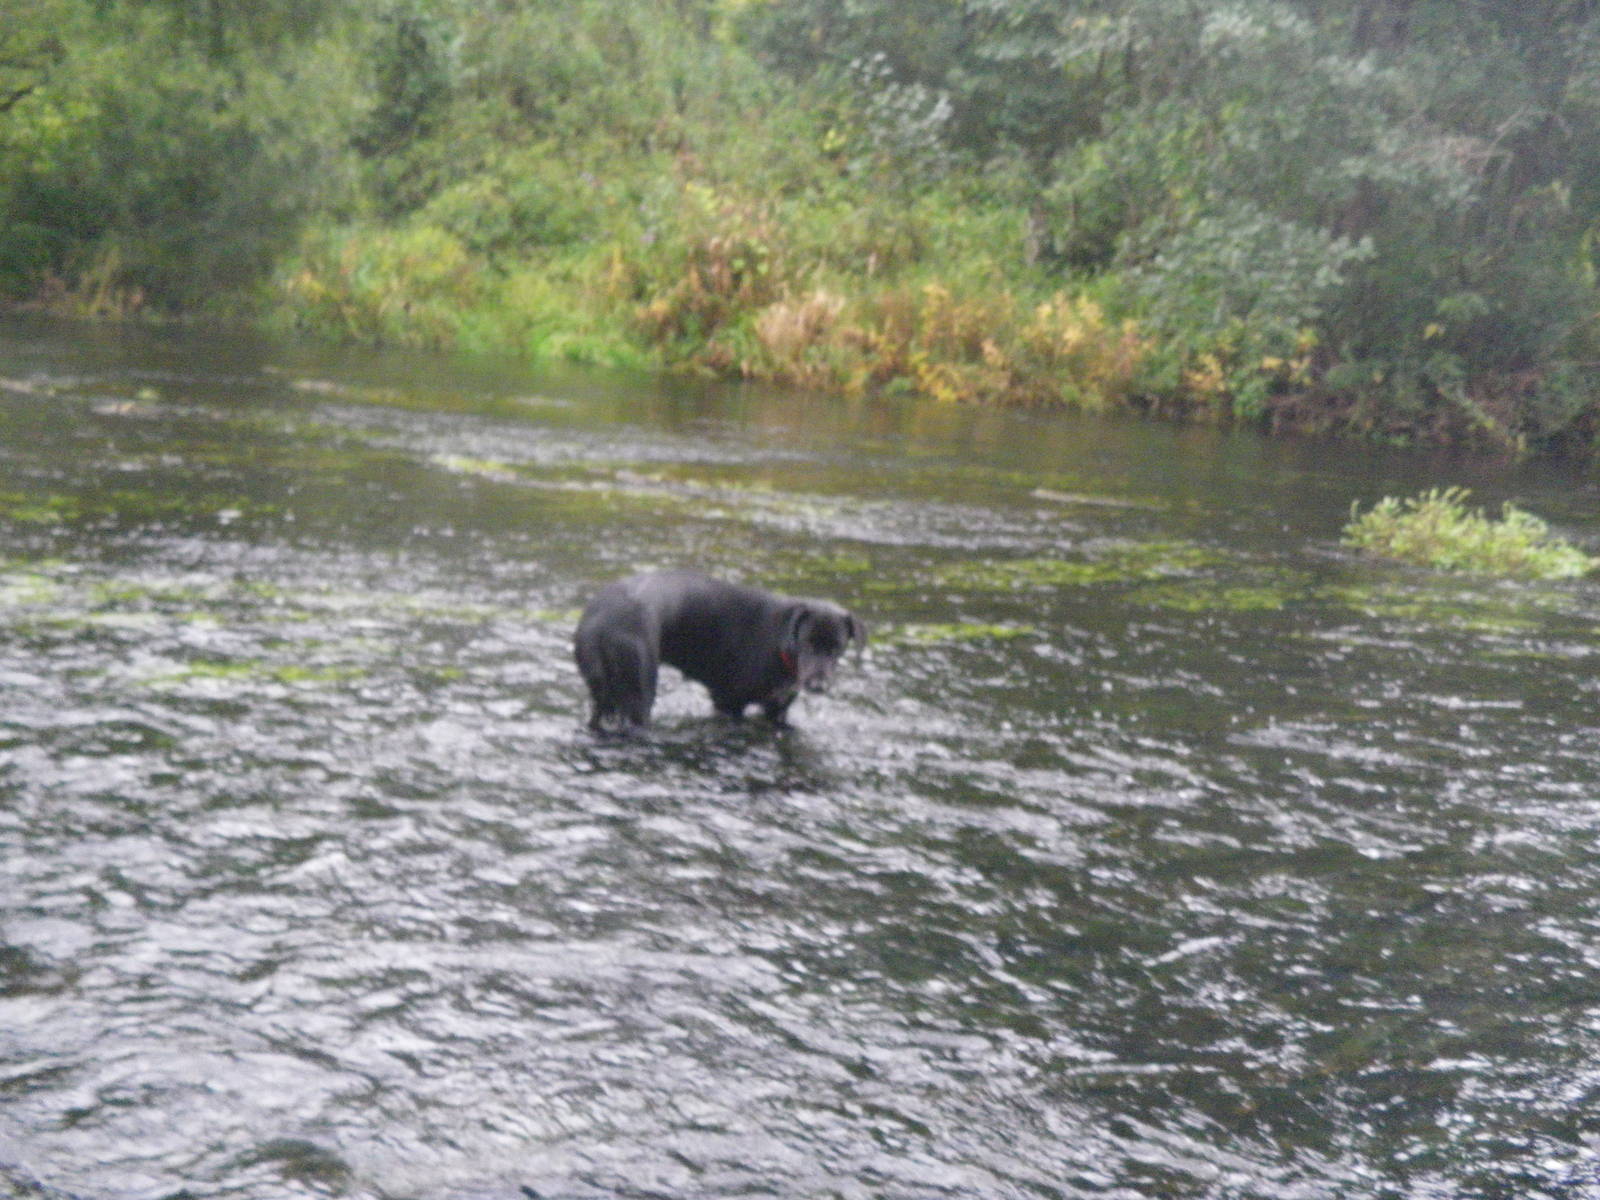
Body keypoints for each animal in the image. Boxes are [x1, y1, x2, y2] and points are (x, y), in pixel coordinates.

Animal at [576, 569, 870, 739]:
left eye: (836, 647)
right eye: (807, 643)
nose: (818, 685)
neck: (780, 642)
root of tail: (600, 623)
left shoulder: (777, 709)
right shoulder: (729, 703)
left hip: (602, 695)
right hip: (639, 693)